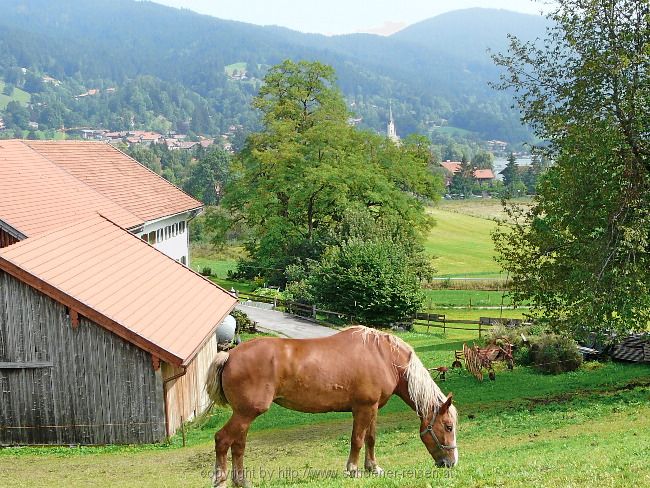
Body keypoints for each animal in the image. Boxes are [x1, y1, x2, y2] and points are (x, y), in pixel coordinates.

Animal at [204, 324, 456, 488]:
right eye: (449, 427)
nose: (451, 463)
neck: (385, 357)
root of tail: (230, 355)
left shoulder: (373, 408)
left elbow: (371, 439)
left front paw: (373, 468)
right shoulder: (363, 408)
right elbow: (357, 440)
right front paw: (353, 470)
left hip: (244, 414)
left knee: (238, 446)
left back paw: (242, 481)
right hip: (246, 413)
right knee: (222, 440)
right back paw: (221, 481)